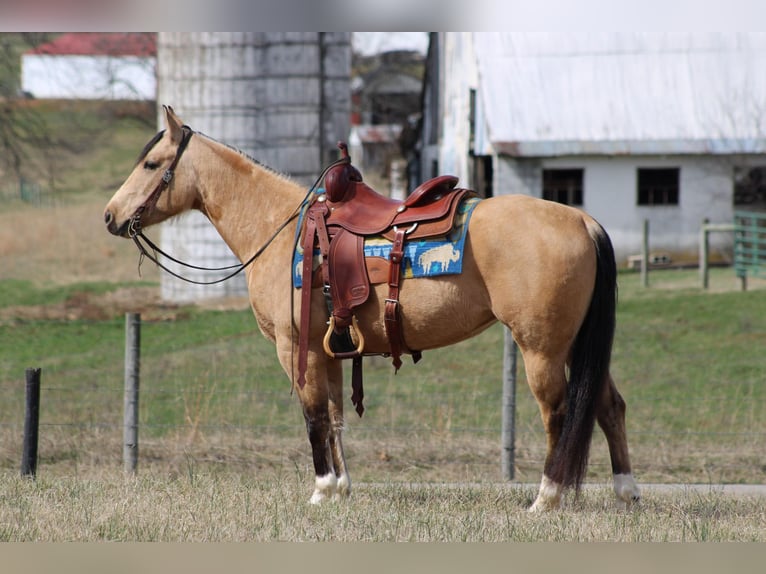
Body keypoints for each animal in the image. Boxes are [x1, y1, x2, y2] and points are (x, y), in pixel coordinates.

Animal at [103, 106, 640, 510]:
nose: (110, 216)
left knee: (560, 413)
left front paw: (321, 491)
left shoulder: (295, 349)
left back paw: (546, 499)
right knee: (609, 406)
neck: (282, 230)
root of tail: (582, 219)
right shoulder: (329, 350)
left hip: (542, 349)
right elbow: (335, 416)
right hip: (575, 345)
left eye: (151, 164)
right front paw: (341, 489)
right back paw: (626, 493)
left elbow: (313, 417)